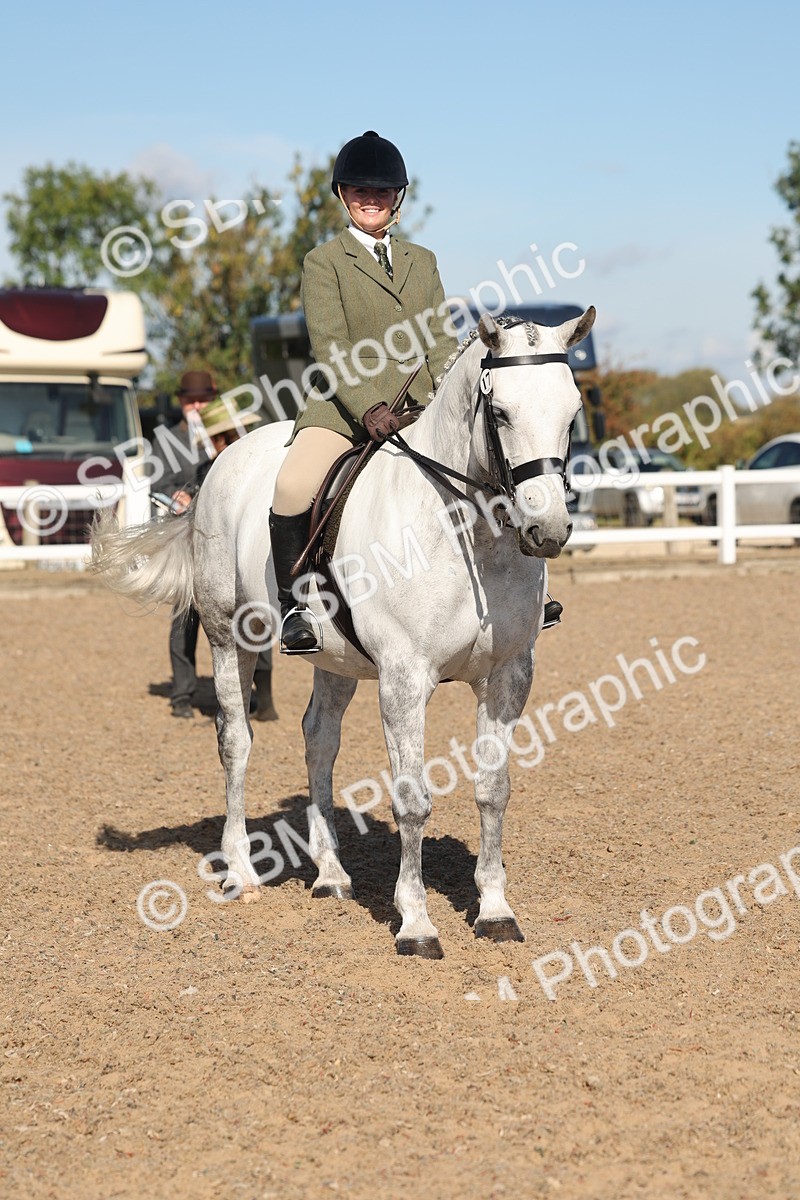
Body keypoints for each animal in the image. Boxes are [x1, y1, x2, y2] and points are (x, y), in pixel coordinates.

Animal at [92, 307, 595, 958]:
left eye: (572, 411)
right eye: (502, 412)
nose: (548, 530)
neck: (469, 536)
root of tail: (221, 461)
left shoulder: (508, 677)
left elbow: (493, 789)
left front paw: (495, 910)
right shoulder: (404, 680)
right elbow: (412, 799)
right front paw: (416, 923)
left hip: (335, 659)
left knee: (318, 739)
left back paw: (330, 875)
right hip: (230, 638)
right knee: (236, 741)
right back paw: (241, 872)